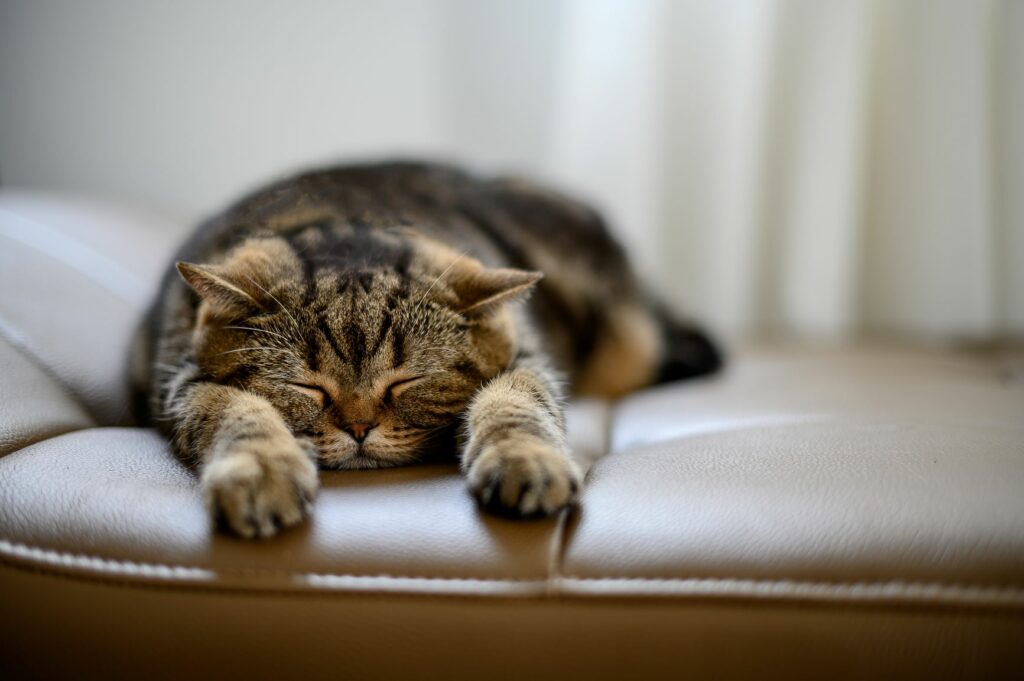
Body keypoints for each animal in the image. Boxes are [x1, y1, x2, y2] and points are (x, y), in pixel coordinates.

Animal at [134, 161, 720, 540]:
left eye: (406, 381)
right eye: (307, 386)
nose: (359, 429)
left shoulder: (526, 363)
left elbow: (514, 404)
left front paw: (523, 460)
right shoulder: (183, 384)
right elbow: (236, 411)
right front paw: (260, 473)